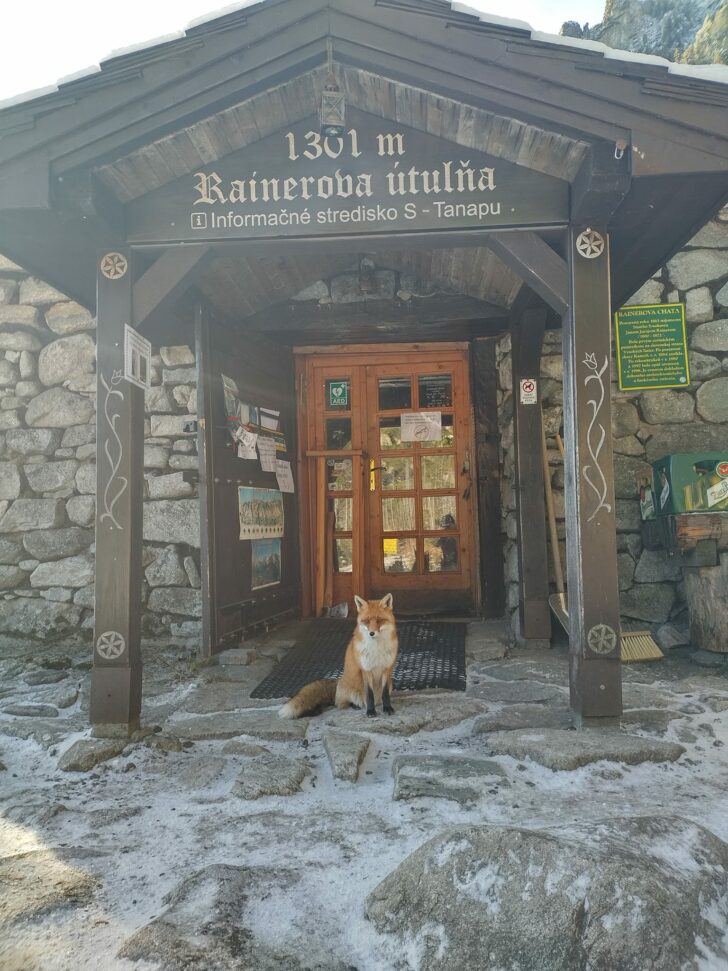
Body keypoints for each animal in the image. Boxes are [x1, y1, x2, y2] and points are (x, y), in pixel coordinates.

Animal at [278, 592, 398, 720]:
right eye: (366, 621)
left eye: (380, 620)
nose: (371, 633)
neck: (376, 649)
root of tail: (338, 680)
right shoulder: (366, 670)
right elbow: (369, 695)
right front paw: (370, 711)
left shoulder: (386, 669)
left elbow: (385, 694)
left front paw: (387, 708)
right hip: (351, 692)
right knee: (343, 703)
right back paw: (356, 705)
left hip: (391, 684)